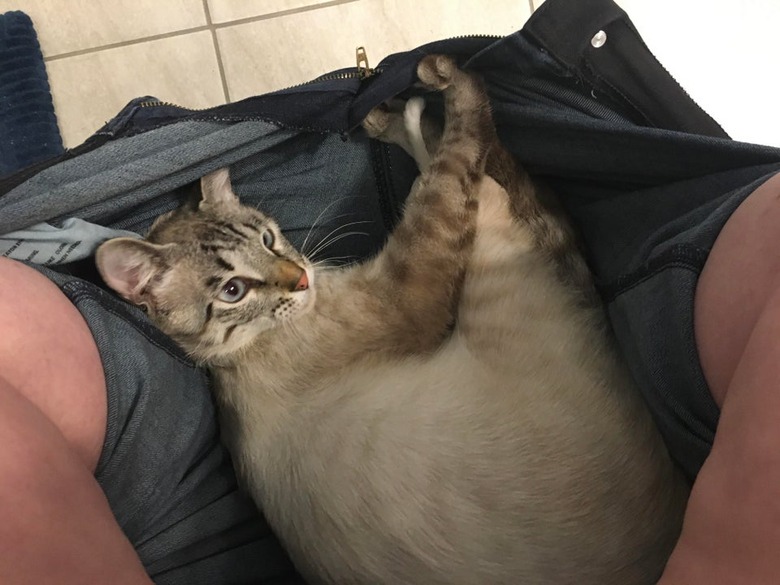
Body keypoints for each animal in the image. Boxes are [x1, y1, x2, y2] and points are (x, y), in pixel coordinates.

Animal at [96, 56, 688, 584]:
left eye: (267, 239)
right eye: (233, 290)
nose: (301, 278)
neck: (231, 359)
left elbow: (445, 175)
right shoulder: (413, 283)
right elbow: (451, 173)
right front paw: (435, 95)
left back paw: (394, 108)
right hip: (494, 268)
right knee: (485, 174)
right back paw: (424, 90)